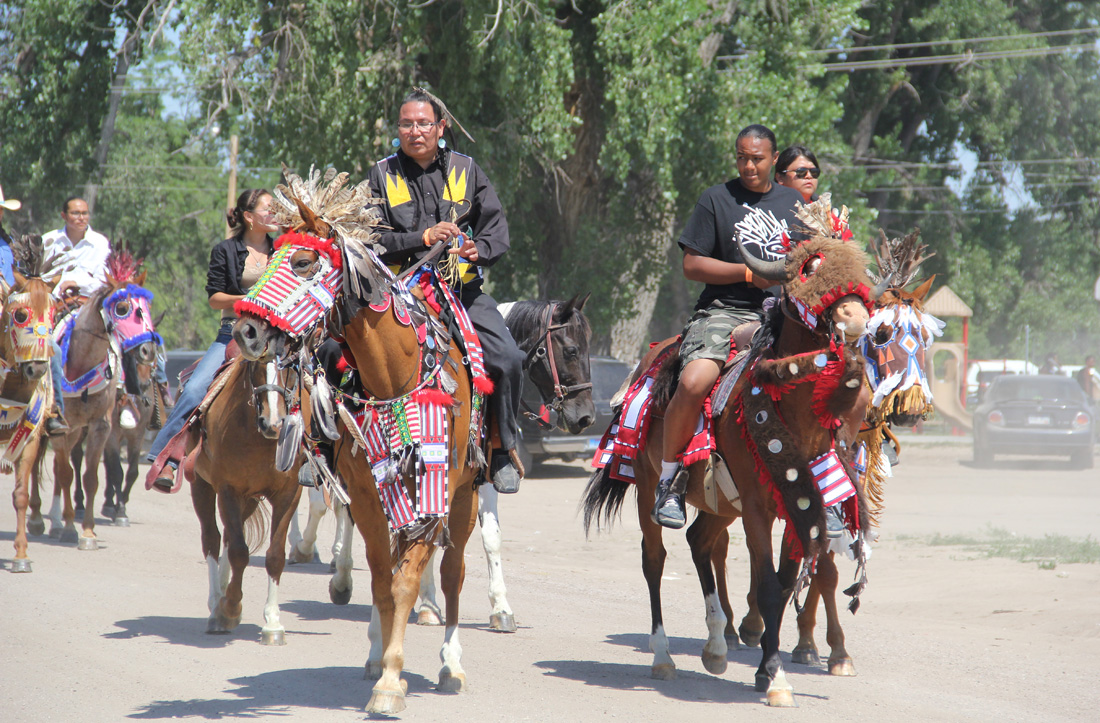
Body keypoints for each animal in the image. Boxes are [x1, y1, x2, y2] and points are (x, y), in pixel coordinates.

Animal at [585, 221, 875, 704]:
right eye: (810, 268)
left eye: (862, 273)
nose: (854, 319)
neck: (789, 407)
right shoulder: (758, 508)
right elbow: (769, 586)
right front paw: (775, 677)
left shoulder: (798, 502)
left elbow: (789, 580)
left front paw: (771, 666)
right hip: (649, 484)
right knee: (655, 558)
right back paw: (663, 656)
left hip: (720, 503)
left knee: (701, 542)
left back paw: (717, 647)